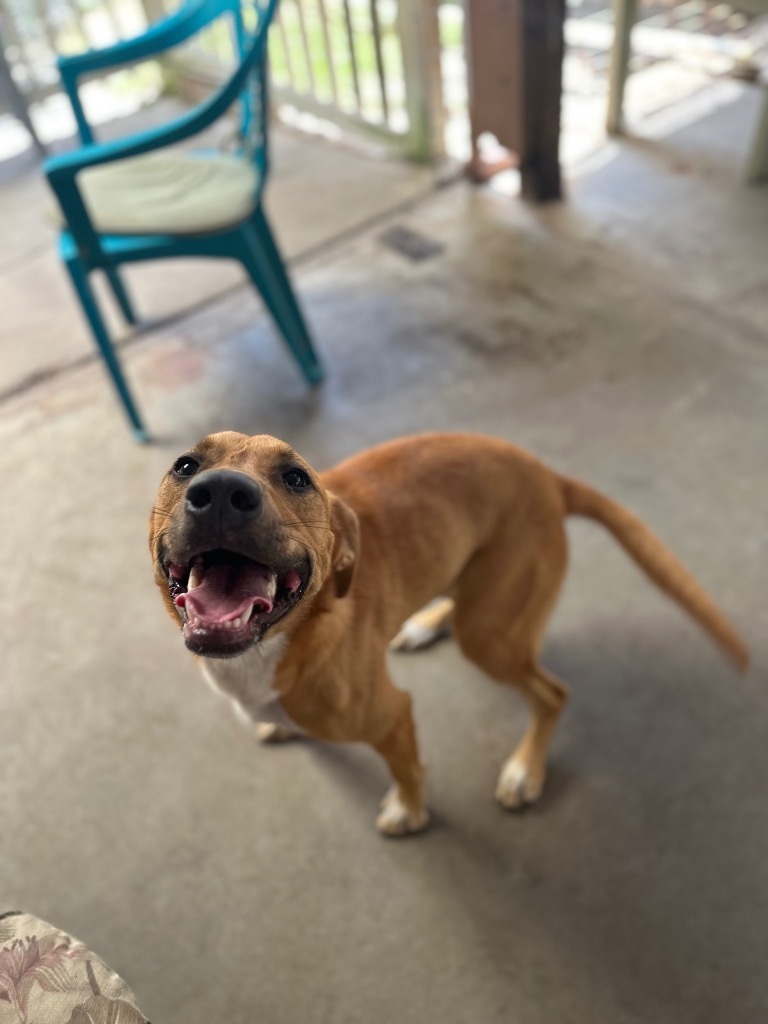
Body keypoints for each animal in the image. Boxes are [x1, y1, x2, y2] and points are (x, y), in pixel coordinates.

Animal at [147, 428, 749, 835]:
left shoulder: (394, 715)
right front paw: (278, 725)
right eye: (185, 464)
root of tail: (547, 474)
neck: (270, 649)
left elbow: (408, 769)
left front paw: (410, 812)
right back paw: (425, 623)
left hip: (491, 634)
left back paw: (524, 770)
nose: (220, 492)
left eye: (296, 478)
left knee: (552, 694)